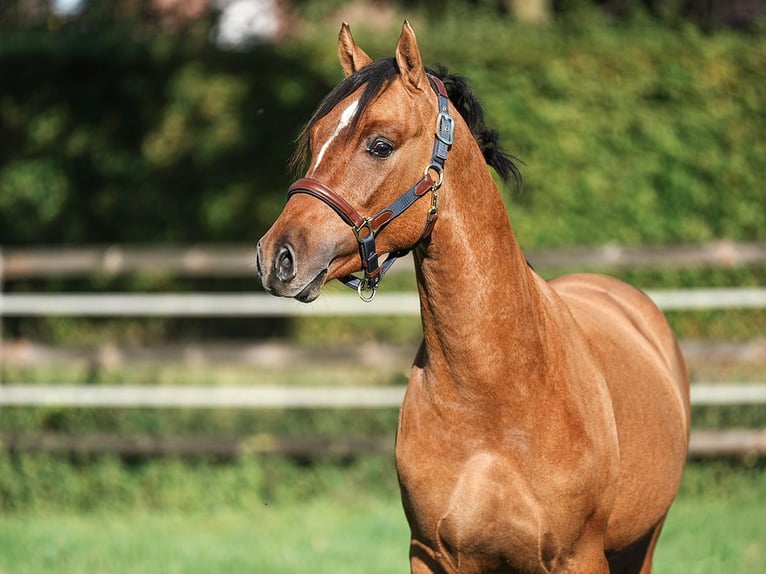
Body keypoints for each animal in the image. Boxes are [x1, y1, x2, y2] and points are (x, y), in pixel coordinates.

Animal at [256, 20, 688, 572]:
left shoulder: (580, 556)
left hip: (642, 543)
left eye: (380, 144)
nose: (277, 256)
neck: (494, 401)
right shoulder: (432, 555)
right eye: (314, 139)